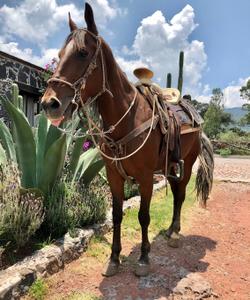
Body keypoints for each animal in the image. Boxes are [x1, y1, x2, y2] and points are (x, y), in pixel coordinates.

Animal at [41, 3, 213, 278]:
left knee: (180, 195)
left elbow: (143, 216)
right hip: (171, 167)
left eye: (82, 52)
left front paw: (143, 258)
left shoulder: (145, 177)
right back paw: (169, 231)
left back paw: (175, 233)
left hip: (187, 163)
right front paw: (114, 258)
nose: (50, 103)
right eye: (59, 53)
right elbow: (117, 216)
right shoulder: (114, 176)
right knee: (177, 192)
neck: (128, 119)